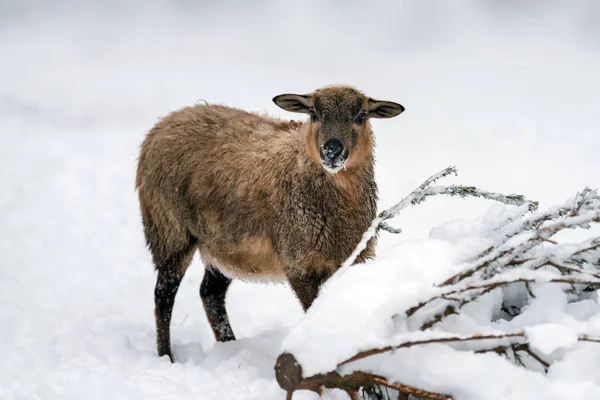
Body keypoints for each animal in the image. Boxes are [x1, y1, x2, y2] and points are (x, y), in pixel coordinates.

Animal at [136, 84, 404, 360]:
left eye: (361, 116)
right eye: (313, 113)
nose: (332, 150)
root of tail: (167, 120)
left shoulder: (354, 261)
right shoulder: (299, 264)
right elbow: (313, 314)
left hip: (223, 244)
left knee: (210, 293)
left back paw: (229, 346)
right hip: (169, 230)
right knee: (164, 295)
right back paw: (166, 356)